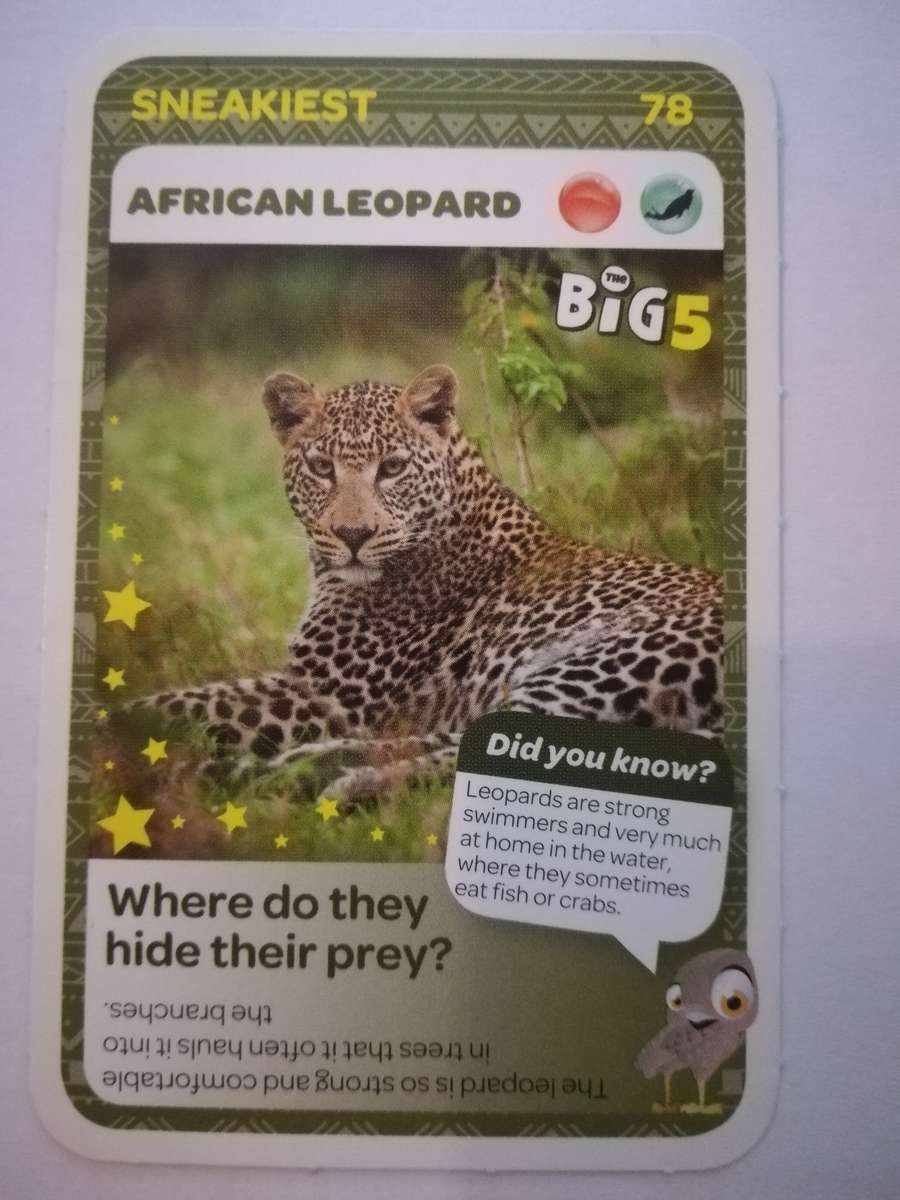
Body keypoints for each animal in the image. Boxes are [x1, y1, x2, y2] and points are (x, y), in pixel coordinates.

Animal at [131, 363, 723, 802]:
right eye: (322, 468)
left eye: (392, 468)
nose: (353, 534)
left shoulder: (328, 695)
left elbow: (179, 706)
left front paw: (120, 726)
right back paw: (301, 769)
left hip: (601, 661)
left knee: (493, 752)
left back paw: (319, 779)